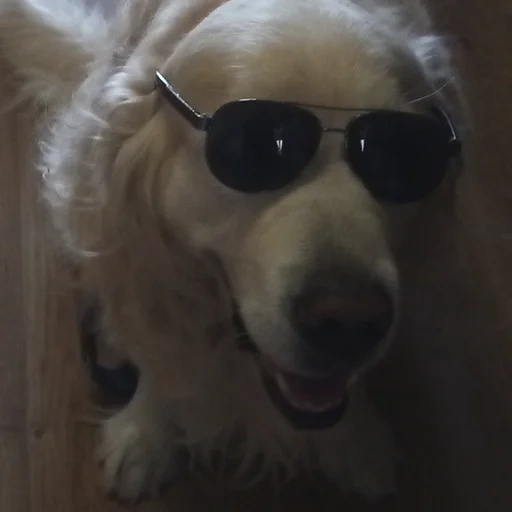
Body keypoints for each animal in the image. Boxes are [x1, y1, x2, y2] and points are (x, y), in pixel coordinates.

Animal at [0, 0, 464, 504]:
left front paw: (355, 440)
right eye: (252, 146)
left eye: (401, 155)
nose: (349, 322)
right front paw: (144, 433)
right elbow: (157, 345)